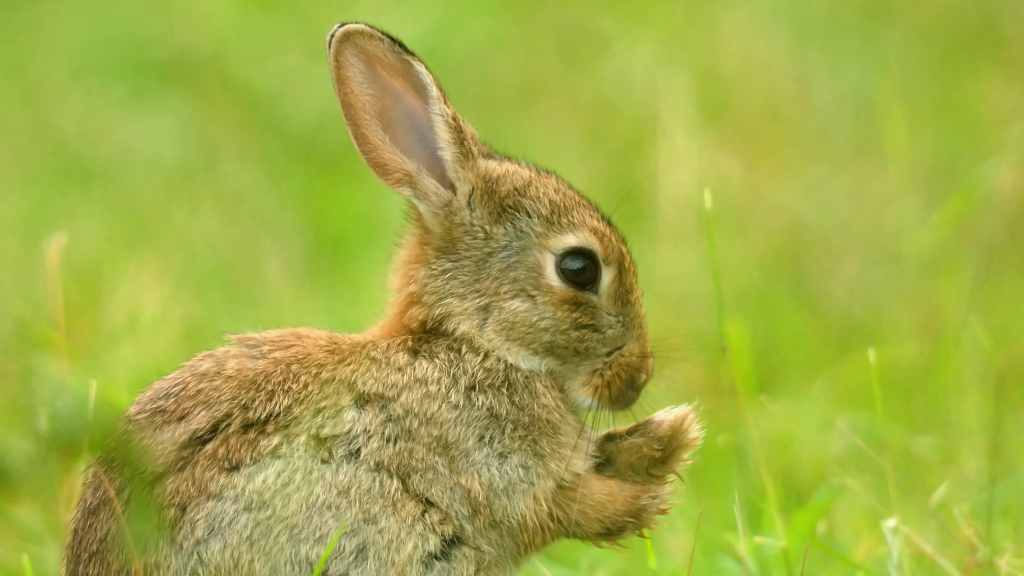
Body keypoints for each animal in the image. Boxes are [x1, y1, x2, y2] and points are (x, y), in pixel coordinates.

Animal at [61, 22, 703, 576]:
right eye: (578, 268)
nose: (638, 378)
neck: (473, 344)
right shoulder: (500, 477)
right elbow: (563, 509)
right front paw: (661, 472)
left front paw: (663, 437)